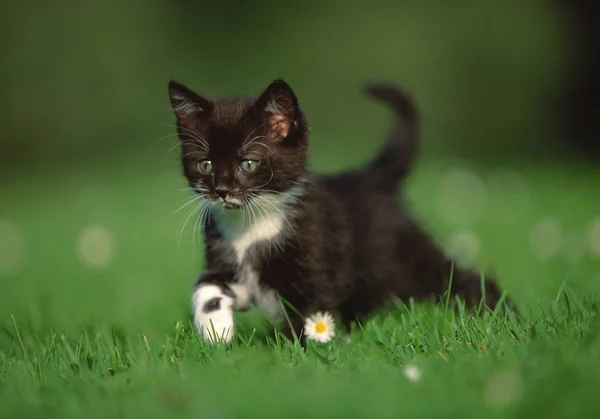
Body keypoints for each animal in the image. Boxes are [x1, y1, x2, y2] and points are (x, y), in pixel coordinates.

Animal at [166, 79, 504, 344]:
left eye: (248, 163)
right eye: (205, 164)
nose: (221, 190)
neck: (252, 223)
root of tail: (370, 177)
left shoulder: (314, 264)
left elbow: (309, 317)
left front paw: (298, 354)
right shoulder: (224, 255)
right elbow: (206, 287)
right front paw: (215, 330)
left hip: (408, 259)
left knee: (459, 276)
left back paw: (497, 314)